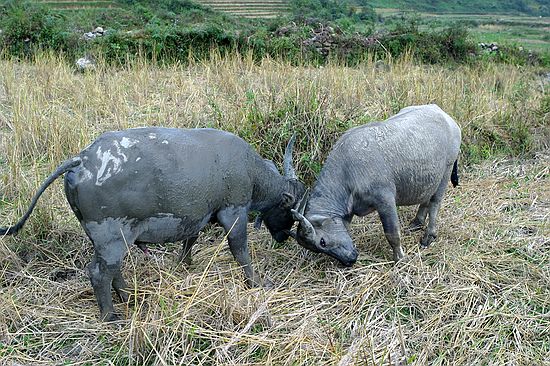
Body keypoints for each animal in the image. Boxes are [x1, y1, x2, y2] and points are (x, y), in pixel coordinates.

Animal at [0, 128, 306, 320]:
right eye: (290, 212)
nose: (284, 237)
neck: (250, 170)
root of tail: (81, 160)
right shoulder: (234, 213)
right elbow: (240, 251)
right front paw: (256, 282)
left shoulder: (197, 217)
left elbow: (190, 239)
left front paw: (184, 263)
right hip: (112, 238)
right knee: (99, 273)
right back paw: (110, 315)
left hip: (107, 240)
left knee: (112, 271)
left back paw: (128, 297)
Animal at [292, 104, 464, 264]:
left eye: (322, 242)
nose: (349, 260)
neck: (347, 171)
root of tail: (446, 117)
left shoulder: (385, 200)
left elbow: (392, 233)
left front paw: (400, 258)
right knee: (426, 199)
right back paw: (416, 222)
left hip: (446, 172)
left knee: (435, 202)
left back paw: (428, 236)